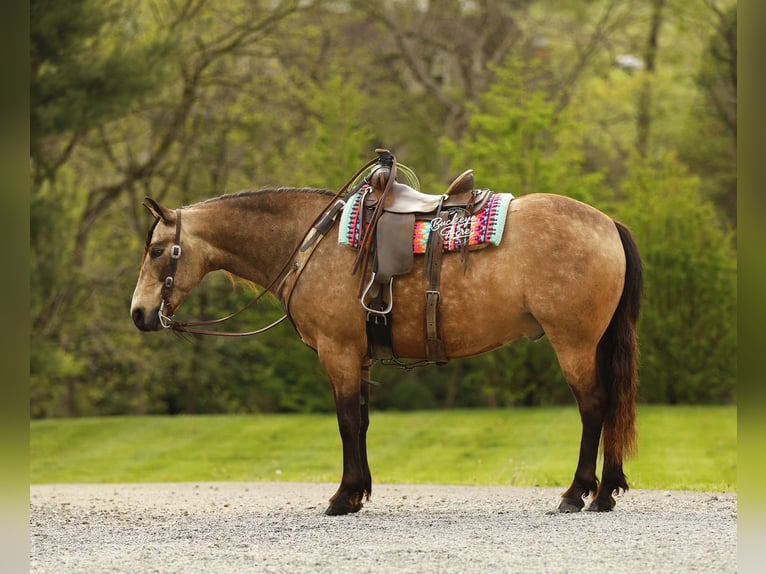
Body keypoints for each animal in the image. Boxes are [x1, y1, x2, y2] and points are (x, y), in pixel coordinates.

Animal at [130, 177, 642, 516]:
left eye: (156, 250)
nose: (138, 313)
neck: (311, 243)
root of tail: (608, 223)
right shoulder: (358, 358)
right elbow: (362, 422)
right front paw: (359, 492)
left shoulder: (337, 352)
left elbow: (346, 421)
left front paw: (342, 496)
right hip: (595, 343)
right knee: (612, 404)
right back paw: (606, 492)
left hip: (573, 342)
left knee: (594, 406)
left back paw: (577, 493)